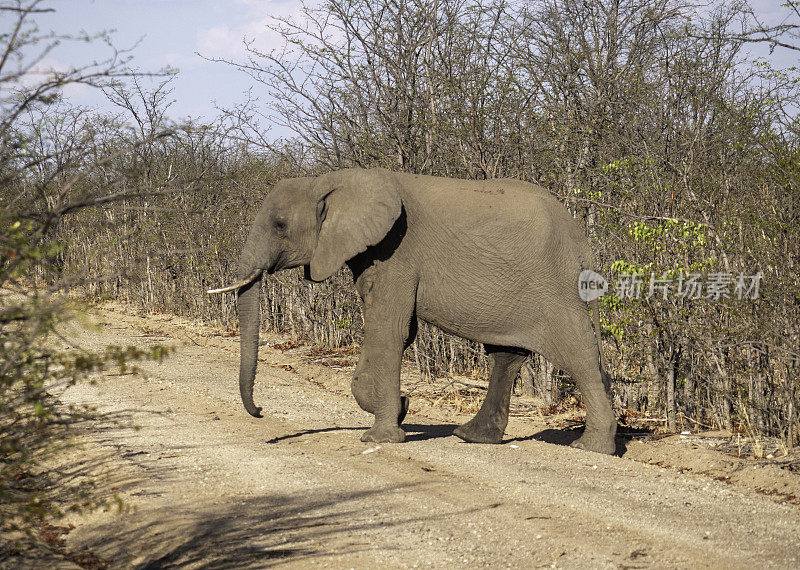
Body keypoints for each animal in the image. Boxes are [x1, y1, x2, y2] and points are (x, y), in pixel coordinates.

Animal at [208, 165, 620, 452]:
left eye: (280, 224)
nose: (261, 412)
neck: (330, 180)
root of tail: (580, 238)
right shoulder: (372, 255)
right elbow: (393, 331)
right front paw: (400, 408)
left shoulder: (398, 253)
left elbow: (388, 329)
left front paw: (381, 436)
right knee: (507, 355)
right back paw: (471, 437)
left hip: (552, 286)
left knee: (577, 353)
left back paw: (592, 448)